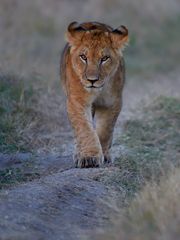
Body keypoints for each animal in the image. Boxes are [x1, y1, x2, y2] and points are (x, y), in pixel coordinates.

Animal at [60, 21, 128, 168]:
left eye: (104, 58)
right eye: (83, 57)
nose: (92, 80)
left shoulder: (112, 103)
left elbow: (105, 130)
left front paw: (103, 155)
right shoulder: (77, 101)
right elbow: (84, 129)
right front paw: (89, 158)